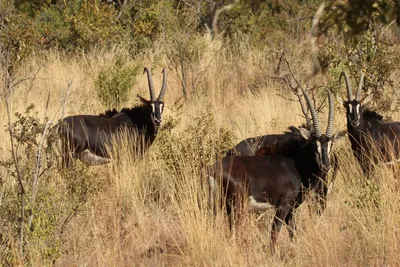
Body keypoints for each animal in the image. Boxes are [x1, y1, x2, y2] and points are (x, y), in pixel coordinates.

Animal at [208, 89, 342, 252]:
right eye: (313, 144)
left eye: (330, 145)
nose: (326, 166)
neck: (296, 163)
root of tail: (213, 169)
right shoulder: (283, 206)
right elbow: (274, 233)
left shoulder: (291, 210)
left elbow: (293, 232)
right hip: (236, 207)